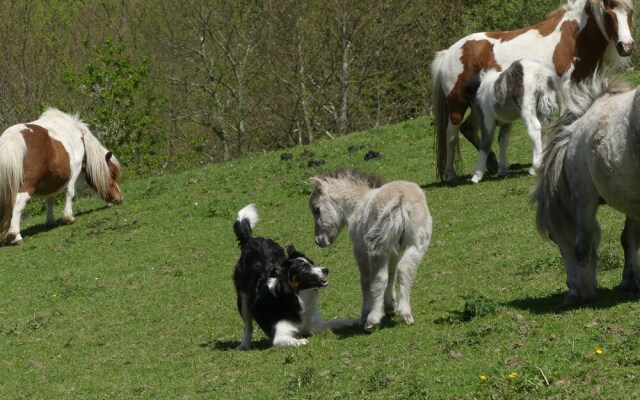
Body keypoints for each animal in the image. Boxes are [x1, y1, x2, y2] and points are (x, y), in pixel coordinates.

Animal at [0, 109, 122, 247]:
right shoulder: (74, 171)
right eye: (113, 174)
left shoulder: (51, 180)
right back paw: (16, 236)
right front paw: (68, 218)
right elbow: (70, 193)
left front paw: (50, 222)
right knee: (18, 204)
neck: (78, 138)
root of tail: (12, 138)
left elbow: (50, 199)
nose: (119, 198)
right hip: (26, 187)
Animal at [232, 205, 358, 348]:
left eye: (312, 263)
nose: (326, 270)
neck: (298, 297)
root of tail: (250, 240)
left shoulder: (313, 325)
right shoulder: (278, 336)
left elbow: (336, 322)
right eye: (303, 268)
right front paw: (300, 340)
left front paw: (354, 321)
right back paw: (244, 345)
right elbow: (291, 339)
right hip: (243, 299)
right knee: (248, 325)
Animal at [308, 170, 432, 332]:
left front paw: (365, 315)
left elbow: (366, 280)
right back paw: (406, 314)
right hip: (416, 245)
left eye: (316, 209)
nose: (319, 241)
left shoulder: (360, 249)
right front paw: (390, 306)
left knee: (379, 278)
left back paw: (371, 320)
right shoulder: (394, 251)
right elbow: (392, 275)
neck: (358, 203)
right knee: (405, 271)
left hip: (376, 249)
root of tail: (401, 199)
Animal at [430, 0, 636, 181]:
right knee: (451, 136)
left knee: (469, 129)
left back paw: (493, 163)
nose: (626, 46)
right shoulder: (566, 89)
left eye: (630, 13)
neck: (573, 38)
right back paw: (451, 174)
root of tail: (448, 53)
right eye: (609, 14)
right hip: (457, 104)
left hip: (478, 104)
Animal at [532, 71, 636, 306]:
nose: (570, 285)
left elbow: (582, 246)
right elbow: (629, 238)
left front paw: (580, 293)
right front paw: (631, 282)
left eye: (554, 236)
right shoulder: (632, 200)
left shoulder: (583, 197)